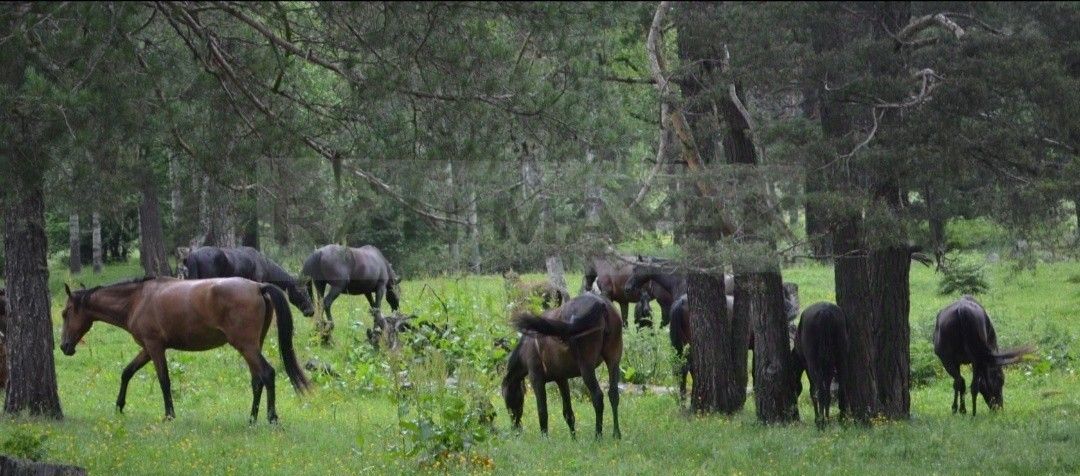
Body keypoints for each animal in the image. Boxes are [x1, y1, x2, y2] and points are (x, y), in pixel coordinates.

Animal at [59, 276, 311, 420]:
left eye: (64, 313)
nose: (64, 346)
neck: (137, 299)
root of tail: (258, 286)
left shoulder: (155, 347)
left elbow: (164, 381)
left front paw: (169, 415)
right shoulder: (147, 349)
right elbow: (127, 372)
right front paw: (119, 406)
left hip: (246, 345)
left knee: (267, 374)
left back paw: (271, 418)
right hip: (252, 346)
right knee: (257, 380)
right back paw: (251, 419)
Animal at [503, 293, 626, 438]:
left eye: (507, 398)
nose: (515, 428)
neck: (528, 346)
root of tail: (600, 304)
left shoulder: (536, 379)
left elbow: (542, 411)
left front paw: (545, 439)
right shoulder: (562, 380)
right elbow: (568, 413)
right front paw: (574, 439)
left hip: (587, 368)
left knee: (597, 397)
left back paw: (598, 435)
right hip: (614, 361)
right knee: (613, 394)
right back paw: (616, 434)